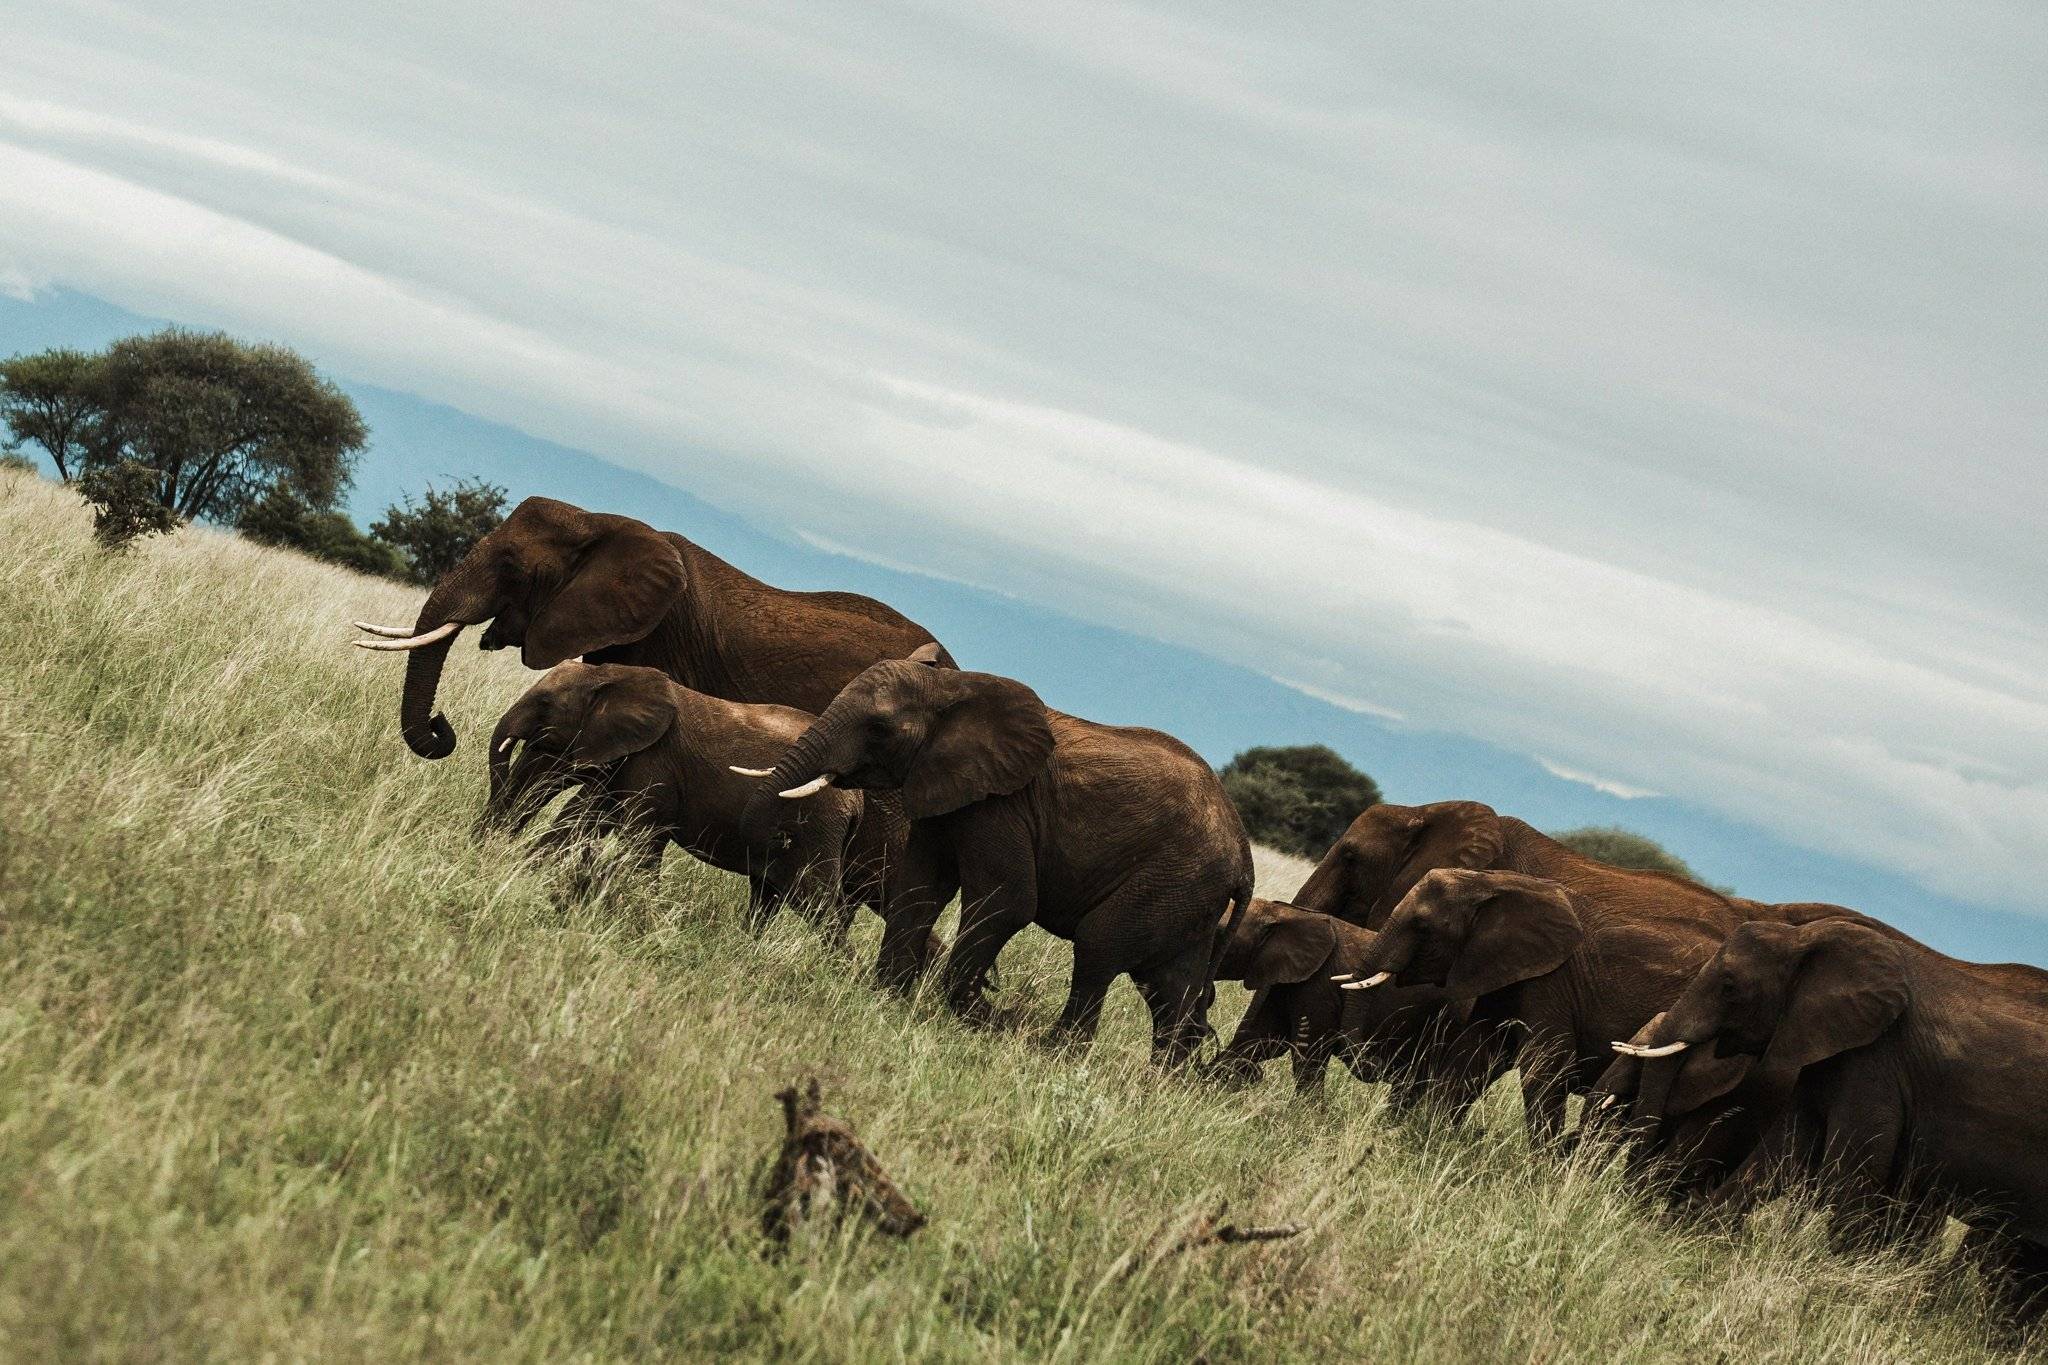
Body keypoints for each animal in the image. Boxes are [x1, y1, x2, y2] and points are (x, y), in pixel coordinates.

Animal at [479, 663, 905, 949]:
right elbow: (585, 819)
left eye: (544, 703)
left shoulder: (656, 762)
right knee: (767, 897)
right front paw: (526, 872)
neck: (614, 674)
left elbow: (641, 839)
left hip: (816, 826)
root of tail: (855, 798)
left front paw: (642, 919)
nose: (483, 850)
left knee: (817, 903)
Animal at [737, 654, 1245, 1064]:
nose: (779, 838)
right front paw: (884, 998)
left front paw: (987, 1018)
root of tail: (1243, 855)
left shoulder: (1002, 804)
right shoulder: (943, 789)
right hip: (1187, 893)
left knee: (1099, 947)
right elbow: (919, 887)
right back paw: (1160, 1080)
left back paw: (1051, 1050)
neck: (953, 689)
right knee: (1171, 988)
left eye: (879, 728)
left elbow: (1007, 901)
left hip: (1173, 877)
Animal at [1204, 900, 1515, 1113]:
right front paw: (1212, 1084)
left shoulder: (1318, 985)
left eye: (1219, 932)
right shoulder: (1285, 981)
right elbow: (1258, 1040)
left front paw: (1308, 1118)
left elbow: (1308, 1051)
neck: (1286, 913)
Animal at [1605, 916, 2048, 1268]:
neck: (1803, 939)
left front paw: (1838, 1283)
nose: (1627, 1205)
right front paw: (1695, 1234)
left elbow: (1847, 1171)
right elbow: (1785, 1152)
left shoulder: (1878, 1060)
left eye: (1729, 986)